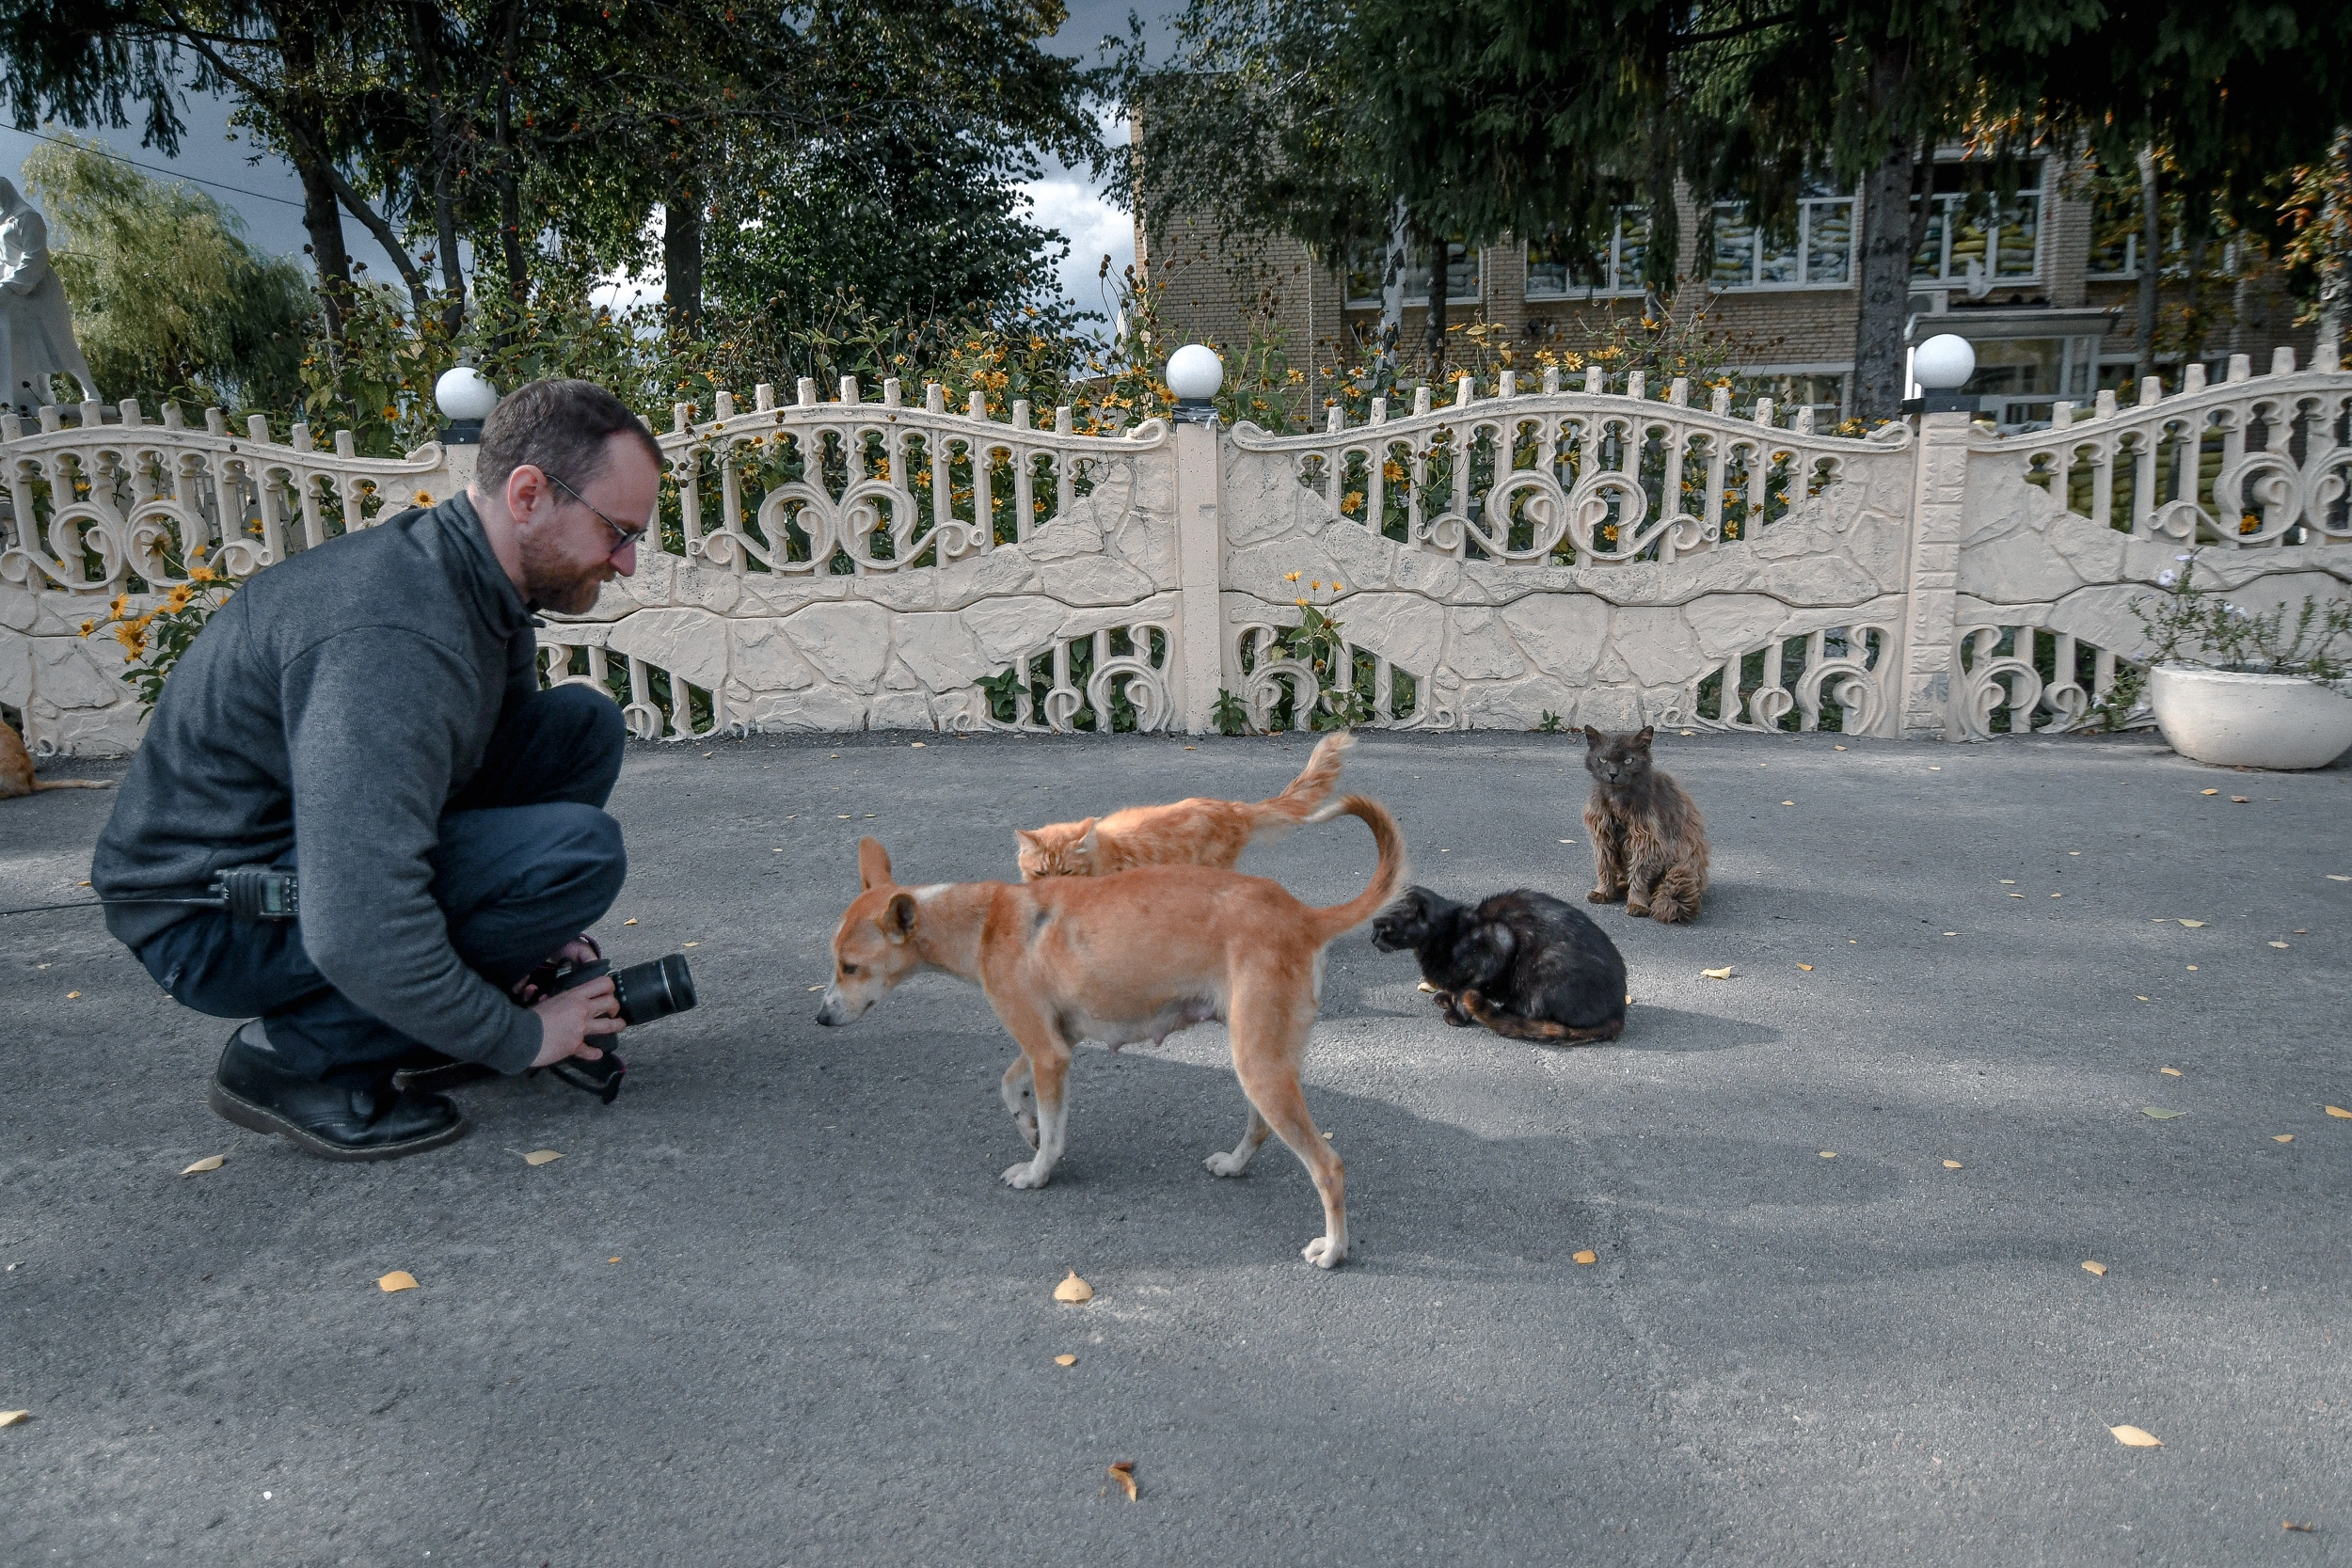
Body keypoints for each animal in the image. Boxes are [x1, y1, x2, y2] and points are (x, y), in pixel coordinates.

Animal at [818, 799, 1402, 1259]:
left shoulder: (1049, 1054)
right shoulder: (1054, 1042)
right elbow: (1010, 1086)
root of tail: (1304, 915)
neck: (983, 921)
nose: (820, 1017)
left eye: (850, 968)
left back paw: (1335, 1250)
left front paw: (1037, 1171)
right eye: (836, 962)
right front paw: (1027, 1127)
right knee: (1259, 1129)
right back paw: (1234, 1165)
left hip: (1261, 1068)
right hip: (1260, 1060)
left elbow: (1053, 1133)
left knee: (1328, 1167)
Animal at [1374, 883, 1628, 1043]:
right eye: (1374, 924)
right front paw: (1446, 998)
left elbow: (1466, 989)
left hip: (1548, 962)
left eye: (1386, 927)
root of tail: (1619, 1009)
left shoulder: (1498, 941)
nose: (1372, 937)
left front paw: (1457, 1015)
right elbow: (1455, 988)